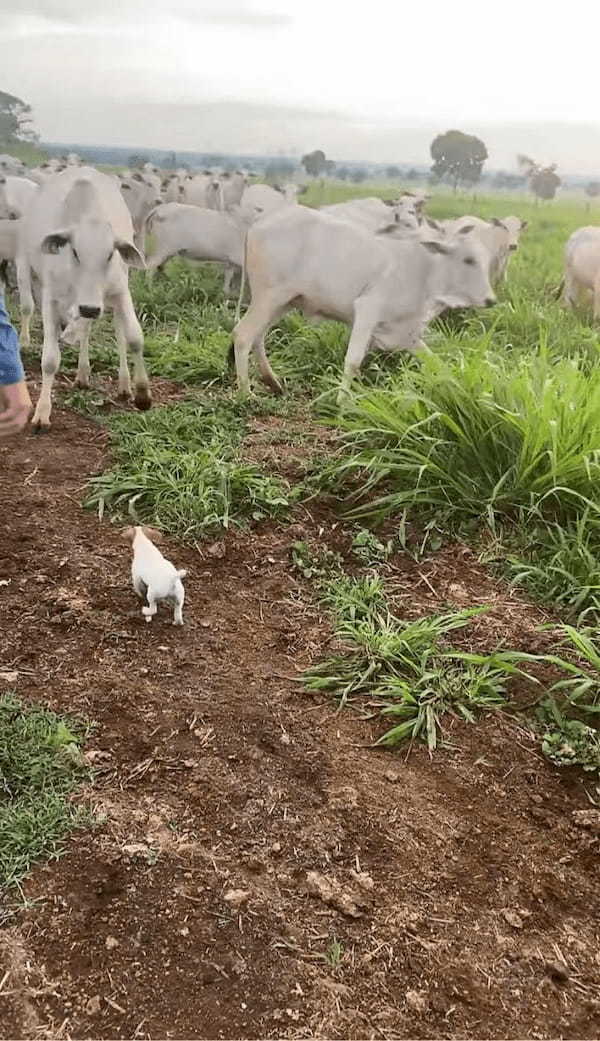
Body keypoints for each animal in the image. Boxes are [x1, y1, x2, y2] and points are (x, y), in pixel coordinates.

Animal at [19, 165, 151, 430]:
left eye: (110, 254)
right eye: (75, 252)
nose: (90, 308)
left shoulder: (121, 291)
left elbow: (134, 338)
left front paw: (142, 394)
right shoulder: (51, 299)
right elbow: (50, 360)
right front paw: (42, 413)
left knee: (117, 333)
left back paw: (123, 384)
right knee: (84, 332)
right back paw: (82, 373)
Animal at [229, 206, 491, 397]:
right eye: (468, 260)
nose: (491, 299)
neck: (425, 270)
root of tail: (260, 221)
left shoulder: (406, 332)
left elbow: (437, 364)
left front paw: (458, 389)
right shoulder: (368, 309)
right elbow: (353, 361)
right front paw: (343, 403)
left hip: (283, 302)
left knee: (258, 336)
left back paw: (273, 382)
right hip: (270, 296)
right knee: (243, 334)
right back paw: (245, 393)